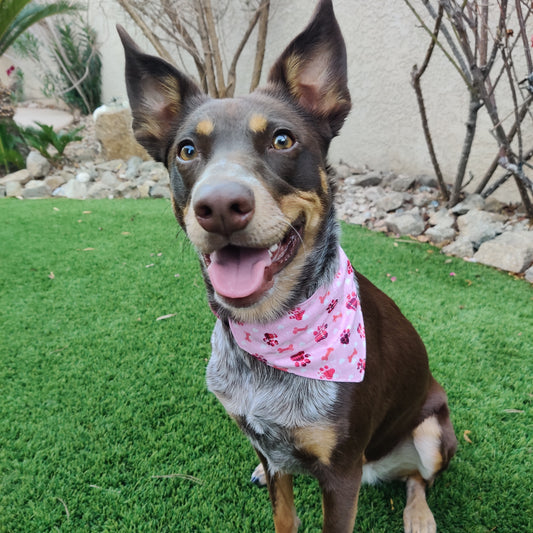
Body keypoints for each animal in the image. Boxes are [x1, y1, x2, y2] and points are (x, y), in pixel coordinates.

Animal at [118, 2, 456, 528]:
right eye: (187, 150)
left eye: (282, 140)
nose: (219, 206)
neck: (273, 336)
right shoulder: (265, 445)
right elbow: (283, 515)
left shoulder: (341, 473)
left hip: (433, 431)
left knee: (419, 479)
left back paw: (419, 516)